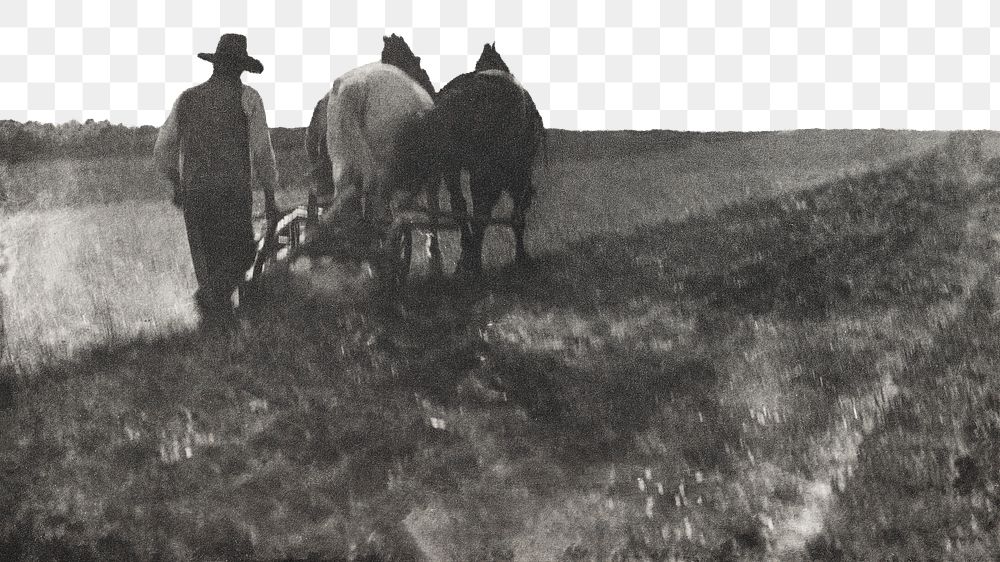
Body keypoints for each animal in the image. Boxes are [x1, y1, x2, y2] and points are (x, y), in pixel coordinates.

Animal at [422, 42, 548, 274]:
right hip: (488, 169)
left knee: (461, 206)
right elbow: (515, 212)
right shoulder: (515, 173)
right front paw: (521, 257)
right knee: (483, 208)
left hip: (454, 166)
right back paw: (473, 261)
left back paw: (466, 257)